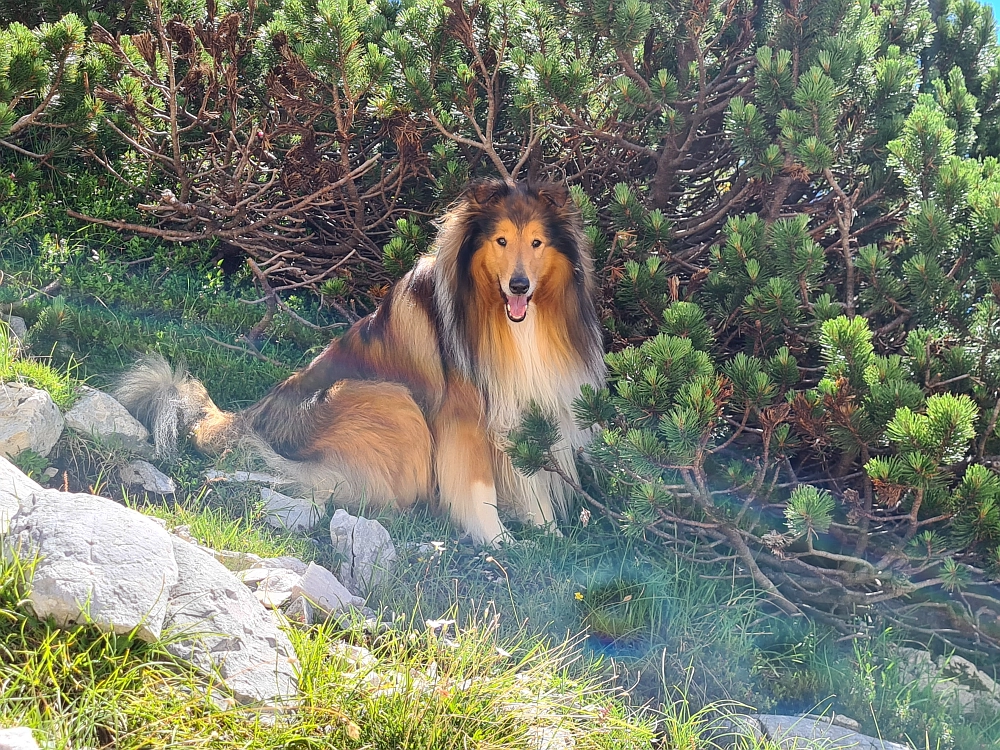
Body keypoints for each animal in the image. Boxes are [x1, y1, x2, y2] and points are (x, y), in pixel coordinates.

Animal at [115, 182, 600, 548]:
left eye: (536, 242)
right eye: (500, 240)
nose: (519, 285)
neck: (506, 322)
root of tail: (255, 417)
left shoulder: (522, 405)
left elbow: (531, 479)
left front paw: (549, 533)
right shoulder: (463, 415)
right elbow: (479, 488)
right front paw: (498, 541)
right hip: (391, 400)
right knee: (334, 487)